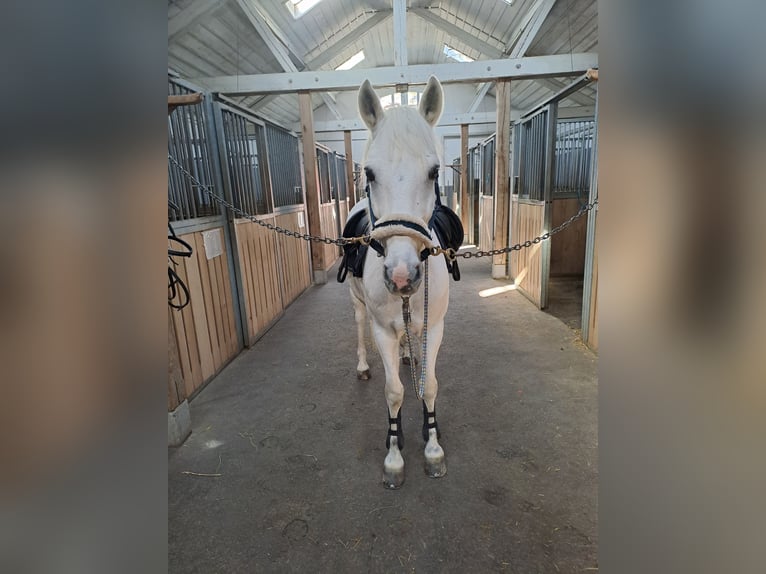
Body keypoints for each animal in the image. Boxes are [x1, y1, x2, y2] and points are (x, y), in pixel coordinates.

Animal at [342, 77, 451, 489]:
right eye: (370, 173)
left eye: (434, 172)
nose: (402, 275)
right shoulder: (382, 331)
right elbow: (393, 392)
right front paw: (394, 453)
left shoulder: (434, 326)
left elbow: (429, 385)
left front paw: (432, 446)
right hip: (358, 306)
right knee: (358, 325)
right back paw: (362, 365)